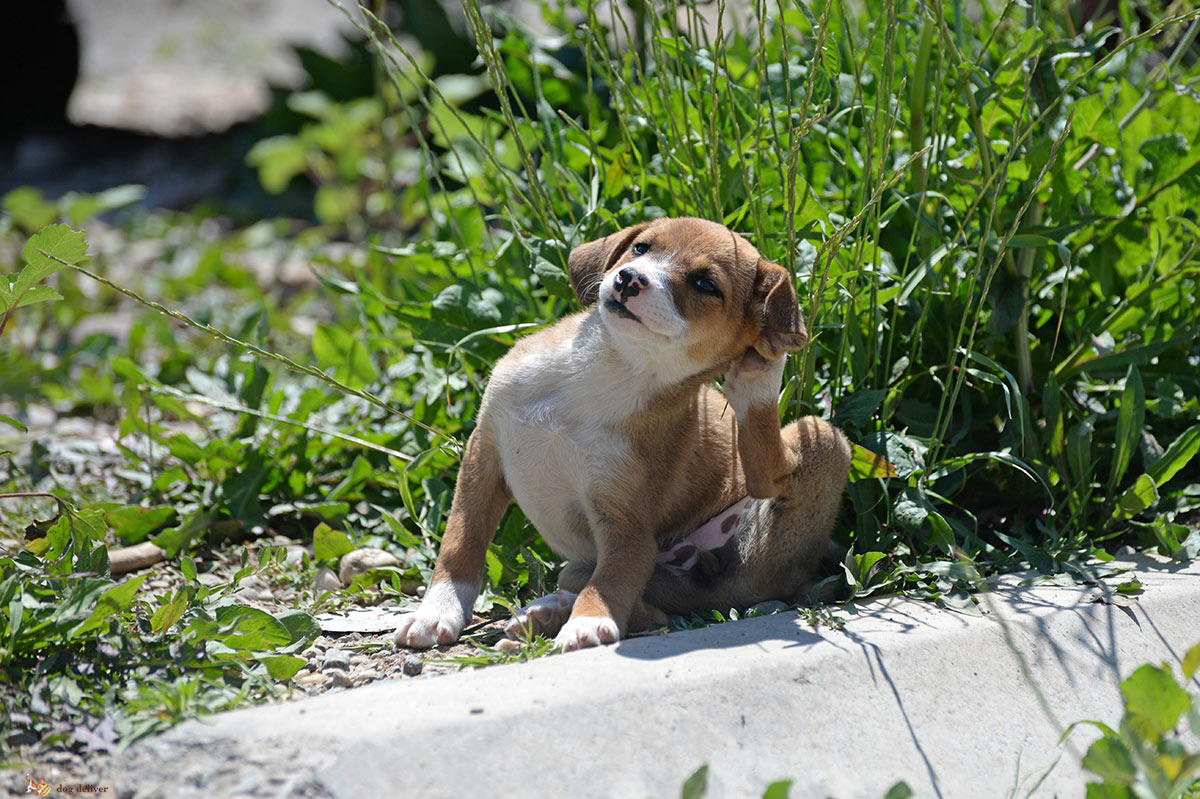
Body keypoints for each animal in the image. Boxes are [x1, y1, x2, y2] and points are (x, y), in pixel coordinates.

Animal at [393, 215, 854, 647]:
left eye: (705, 284)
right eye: (641, 248)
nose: (630, 278)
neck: (608, 370)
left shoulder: (623, 520)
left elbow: (611, 578)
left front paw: (588, 622)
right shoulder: (483, 456)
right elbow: (461, 545)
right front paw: (436, 613)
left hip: (820, 439)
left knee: (759, 488)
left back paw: (758, 379)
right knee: (641, 598)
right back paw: (546, 610)